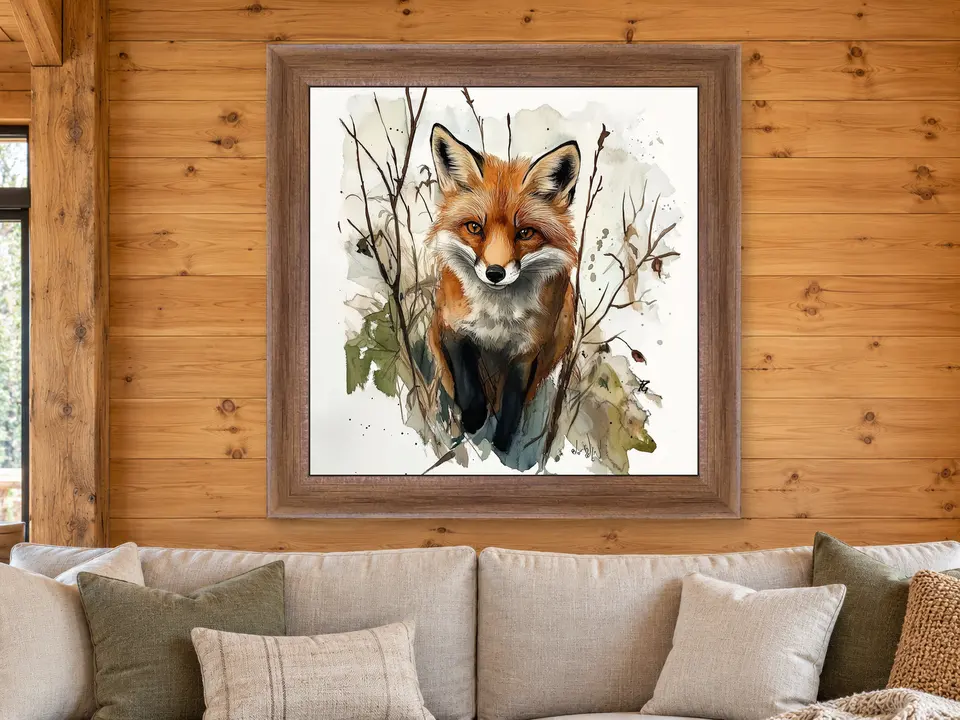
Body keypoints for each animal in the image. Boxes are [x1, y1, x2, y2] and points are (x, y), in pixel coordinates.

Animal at [426, 123, 581, 452]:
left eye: (525, 233)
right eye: (474, 228)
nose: (494, 273)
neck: (497, 317)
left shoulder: (527, 351)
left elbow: (512, 404)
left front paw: (502, 444)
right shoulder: (452, 329)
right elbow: (468, 384)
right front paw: (474, 418)